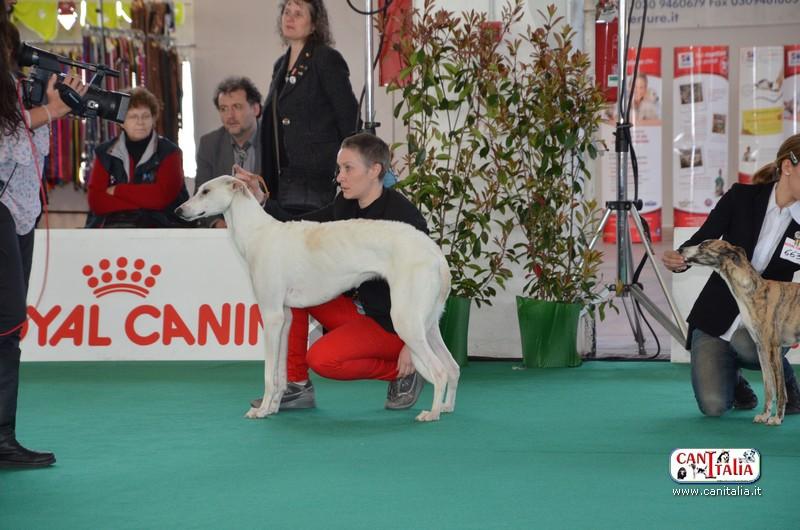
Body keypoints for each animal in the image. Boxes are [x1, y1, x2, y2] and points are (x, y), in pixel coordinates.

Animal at [175, 176, 460, 422]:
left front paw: (261, 410)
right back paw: (447, 407)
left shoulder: (271, 316)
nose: (179, 211)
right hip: (428, 324)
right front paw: (273, 407)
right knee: (453, 367)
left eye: (206, 191)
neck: (257, 233)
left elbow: (268, 374)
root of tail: (435, 253)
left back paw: (432, 413)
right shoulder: (285, 317)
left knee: (439, 370)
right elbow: (279, 374)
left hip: (406, 322)